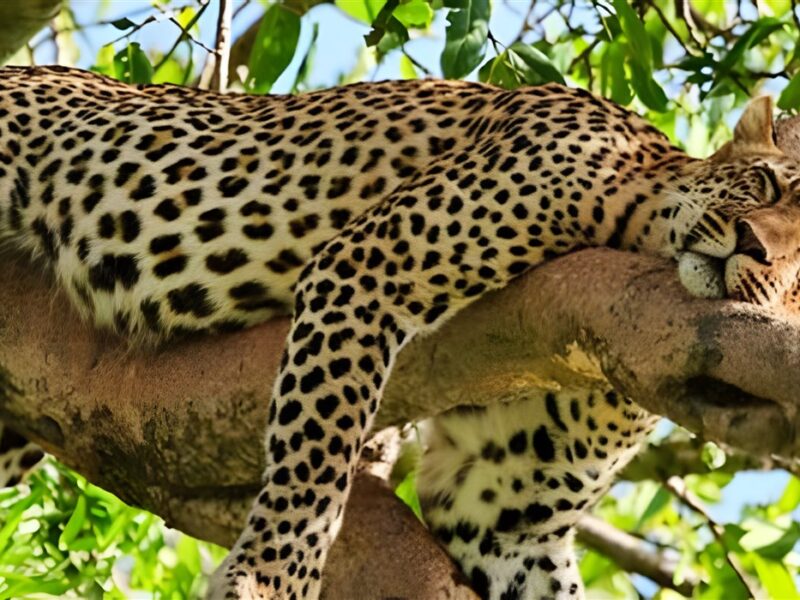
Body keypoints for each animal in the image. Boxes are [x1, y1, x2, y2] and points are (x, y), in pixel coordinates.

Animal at [1, 64, 800, 600]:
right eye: (767, 187)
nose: (754, 252)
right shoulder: (365, 265)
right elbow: (315, 469)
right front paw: (266, 579)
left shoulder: (502, 513)